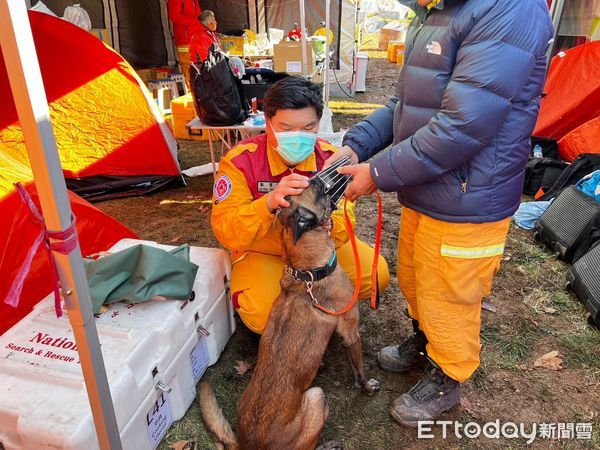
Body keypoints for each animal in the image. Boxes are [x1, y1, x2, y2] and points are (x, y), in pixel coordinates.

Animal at [199, 182, 378, 450]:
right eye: (318, 188)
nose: (321, 179)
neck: (307, 273)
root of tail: (247, 445)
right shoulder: (351, 333)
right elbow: (359, 369)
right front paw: (367, 387)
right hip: (317, 397)